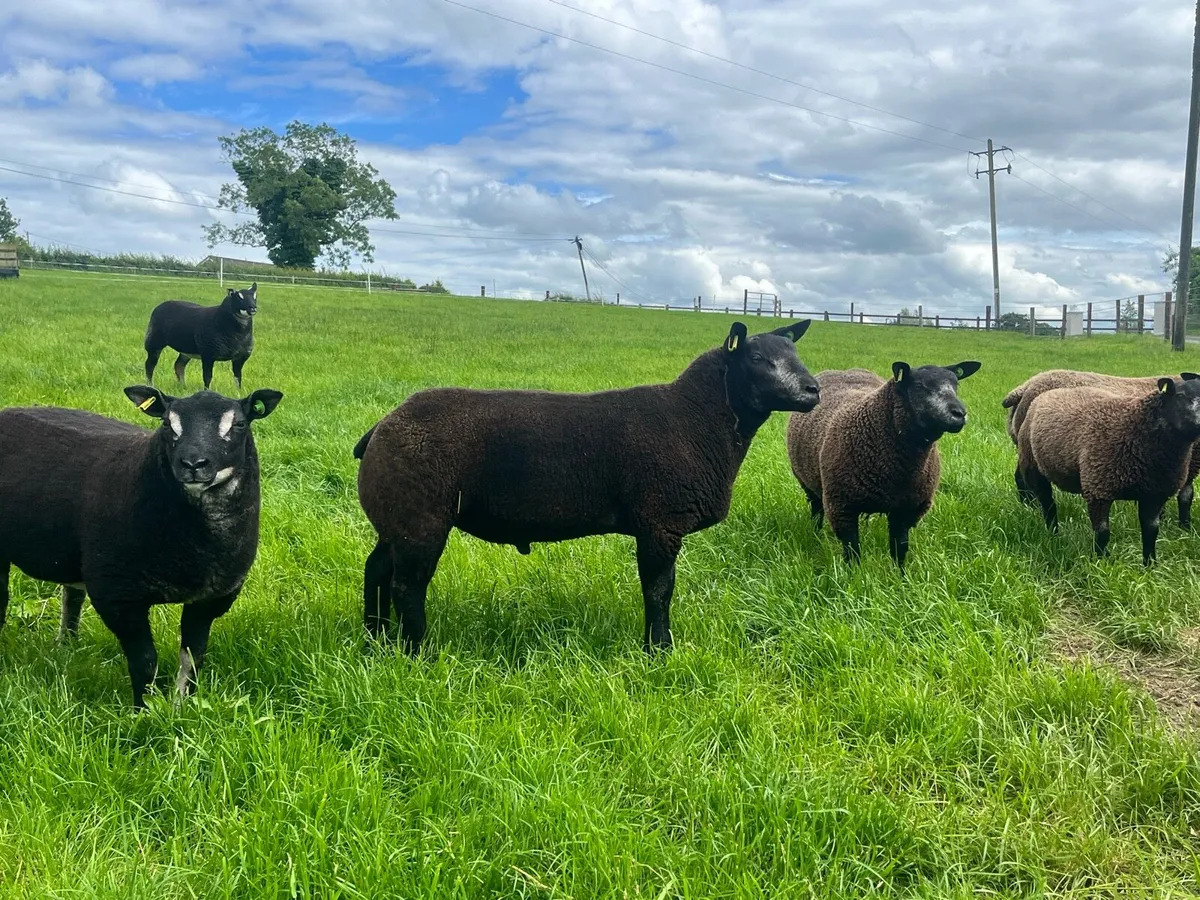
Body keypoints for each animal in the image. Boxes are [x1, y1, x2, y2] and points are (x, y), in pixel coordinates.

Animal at [0, 385, 282, 707]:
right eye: (167, 424)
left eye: (240, 424)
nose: (193, 465)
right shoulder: (118, 595)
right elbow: (145, 662)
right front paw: (143, 711)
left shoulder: (211, 598)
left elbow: (192, 658)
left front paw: (182, 706)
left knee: (71, 596)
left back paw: (66, 646)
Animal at [353, 320, 820, 654]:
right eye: (757, 357)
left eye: (795, 353)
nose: (813, 390)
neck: (696, 418)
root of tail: (382, 426)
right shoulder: (660, 522)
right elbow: (659, 590)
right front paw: (659, 651)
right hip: (420, 517)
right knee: (407, 586)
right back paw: (417, 652)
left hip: (395, 518)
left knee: (376, 570)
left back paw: (375, 639)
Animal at [786, 360, 981, 567]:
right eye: (919, 386)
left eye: (956, 385)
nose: (960, 413)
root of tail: (842, 370)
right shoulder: (842, 506)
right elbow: (852, 550)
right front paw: (854, 574)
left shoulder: (907, 510)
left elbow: (899, 548)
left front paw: (899, 573)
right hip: (807, 482)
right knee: (816, 509)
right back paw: (815, 534)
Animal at [1016, 377, 1200, 565]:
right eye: (1180, 395)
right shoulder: (1098, 488)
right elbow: (1102, 532)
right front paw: (1100, 560)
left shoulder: (1154, 494)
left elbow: (1151, 531)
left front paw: (1150, 564)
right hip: (1033, 465)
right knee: (1048, 504)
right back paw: (1053, 533)